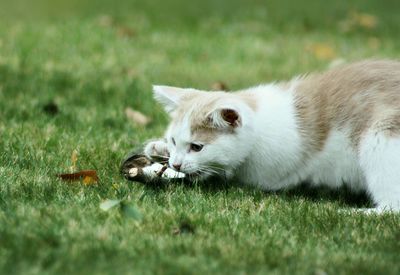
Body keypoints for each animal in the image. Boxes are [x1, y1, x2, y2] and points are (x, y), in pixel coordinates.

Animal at [144, 60, 400, 213]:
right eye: (174, 141)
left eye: (197, 147)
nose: (177, 163)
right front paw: (157, 150)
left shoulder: (267, 173)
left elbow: (221, 174)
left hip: (380, 136)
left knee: (392, 209)